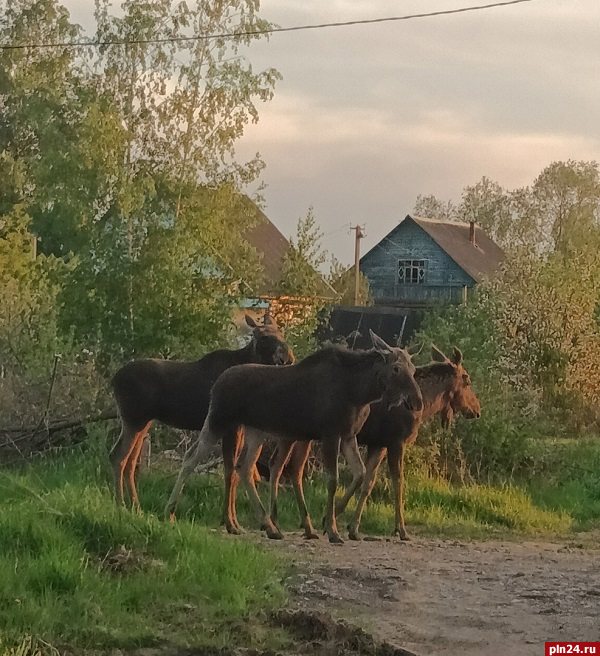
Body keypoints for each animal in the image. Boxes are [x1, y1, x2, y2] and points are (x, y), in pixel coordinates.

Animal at [111, 316, 294, 510]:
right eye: (263, 337)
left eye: (281, 333)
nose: (286, 358)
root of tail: (113, 379)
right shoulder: (230, 426)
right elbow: (233, 470)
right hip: (134, 419)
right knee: (118, 456)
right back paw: (120, 503)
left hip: (144, 422)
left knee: (130, 460)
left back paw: (135, 505)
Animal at [164, 334, 422, 544]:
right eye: (396, 368)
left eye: (413, 368)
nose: (416, 401)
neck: (360, 393)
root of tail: (217, 382)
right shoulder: (330, 434)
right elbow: (333, 480)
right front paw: (332, 529)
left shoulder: (349, 436)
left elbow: (360, 474)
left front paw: (330, 521)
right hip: (219, 420)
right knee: (192, 457)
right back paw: (170, 510)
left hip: (254, 431)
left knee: (244, 467)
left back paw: (268, 526)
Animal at [268, 340, 482, 540]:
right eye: (467, 379)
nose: (476, 410)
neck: (426, 404)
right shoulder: (396, 442)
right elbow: (398, 482)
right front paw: (400, 529)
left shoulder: (378, 444)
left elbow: (368, 482)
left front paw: (352, 527)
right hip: (292, 434)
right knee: (281, 465)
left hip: (303, 437)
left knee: (291, 467)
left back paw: (302, 525)